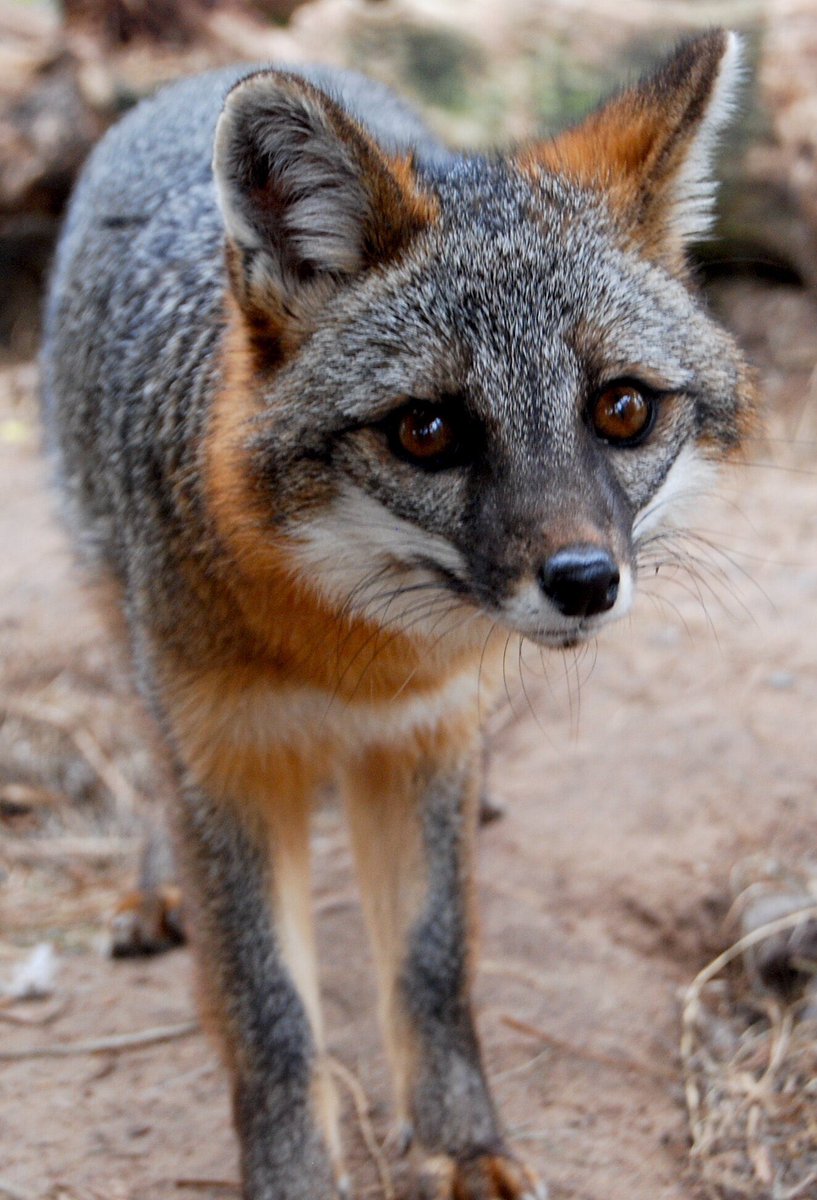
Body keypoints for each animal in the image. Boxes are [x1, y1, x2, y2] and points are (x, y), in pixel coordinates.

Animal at [41, 29, 756, 1200]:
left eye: (621, 408)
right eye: (426, 432)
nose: (584, 580)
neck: (353, 658)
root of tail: (200, 75)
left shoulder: (420, 743)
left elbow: (430, 966)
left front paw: (465, 1145)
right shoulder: (229, 762)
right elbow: (268, 1013)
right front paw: (294, 1179)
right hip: (119, 610)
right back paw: (153, 882)